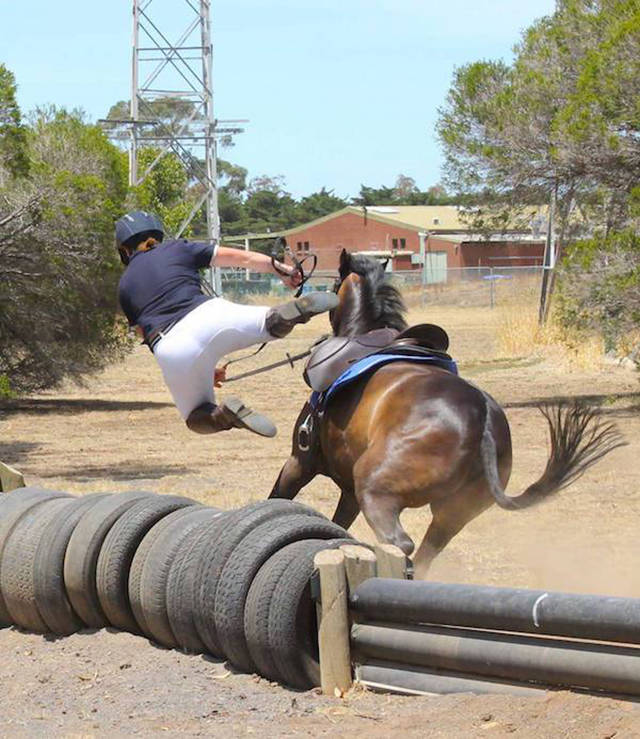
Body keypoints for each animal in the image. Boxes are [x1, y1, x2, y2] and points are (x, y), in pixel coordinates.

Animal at [270, 251, 624, 580]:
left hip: (375, 489)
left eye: (333, 286)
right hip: (452, 515)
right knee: (424, 555)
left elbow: (279, 497)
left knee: (400, 544)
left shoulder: (300, 463)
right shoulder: (347, 491)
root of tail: (483, 418)